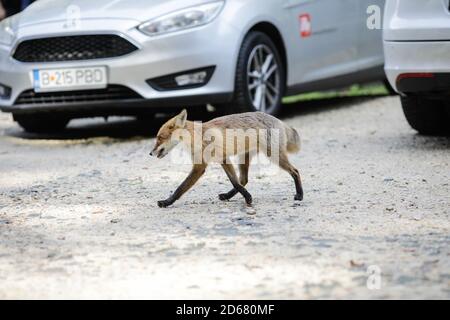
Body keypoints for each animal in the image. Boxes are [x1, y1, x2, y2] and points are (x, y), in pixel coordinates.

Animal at [150, 110, 302, 209]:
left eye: (160, 138)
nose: (150, 153)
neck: (198, 137)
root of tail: (277, 119)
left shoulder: (204, 165)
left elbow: (180, 188)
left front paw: (166, 202)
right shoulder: (221, 159)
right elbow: (235, 182)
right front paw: (247, 197)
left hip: (273, 155)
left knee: (295, 171)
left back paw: (300, 195)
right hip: (244, 158)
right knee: (244, 179)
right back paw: (227, 196)